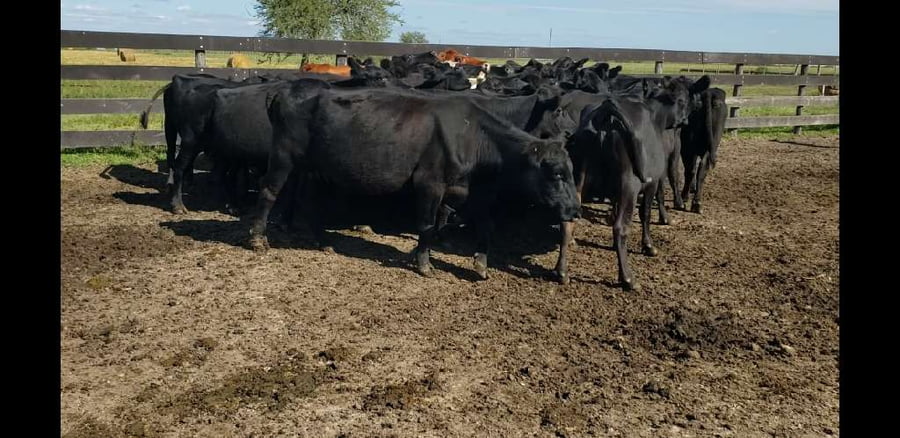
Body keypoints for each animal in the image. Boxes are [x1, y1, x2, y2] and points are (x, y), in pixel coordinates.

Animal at [247, 87, 581, 281]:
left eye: (571, 170)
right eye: (556, 173)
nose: (576, 210)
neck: (472, 135)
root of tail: (285, 92)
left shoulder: (471, 192)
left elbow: (485, 227)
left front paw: (481, 265)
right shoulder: (429, 184)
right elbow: (426, 226)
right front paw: (423, 263)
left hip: (314, 168)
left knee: (308, 200)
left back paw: (323, 242)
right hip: (283, 156)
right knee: (268, 191)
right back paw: (258, 240)